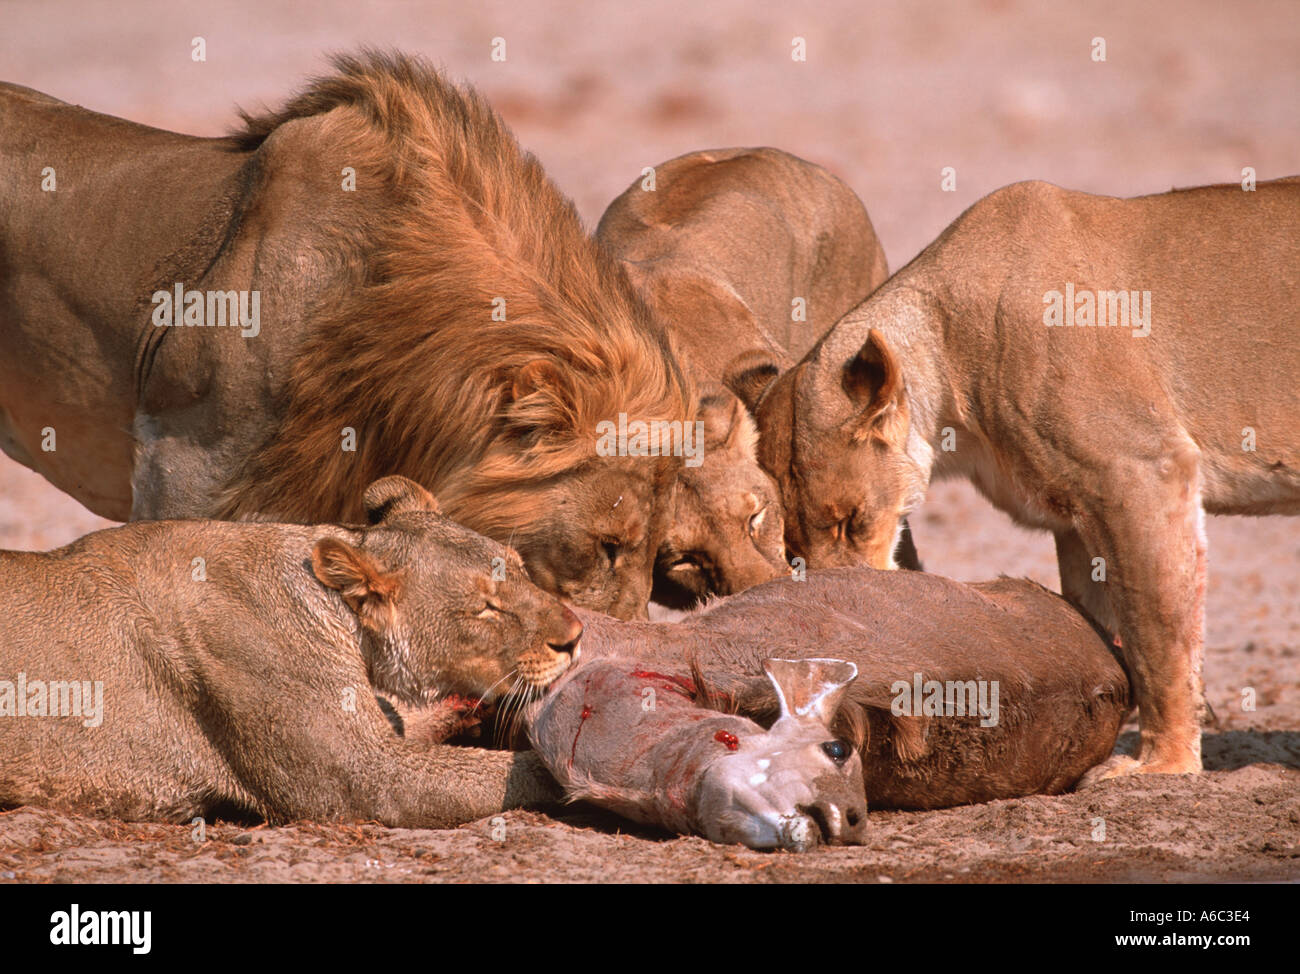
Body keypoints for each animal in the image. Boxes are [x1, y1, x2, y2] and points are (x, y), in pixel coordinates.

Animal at [727, 176, 1300, 781]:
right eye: (791, 547)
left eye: (850, 522)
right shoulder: (1079, 515)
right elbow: (1100, 623)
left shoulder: (1143, 470)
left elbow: (1158, 635)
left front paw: (1162, 765)